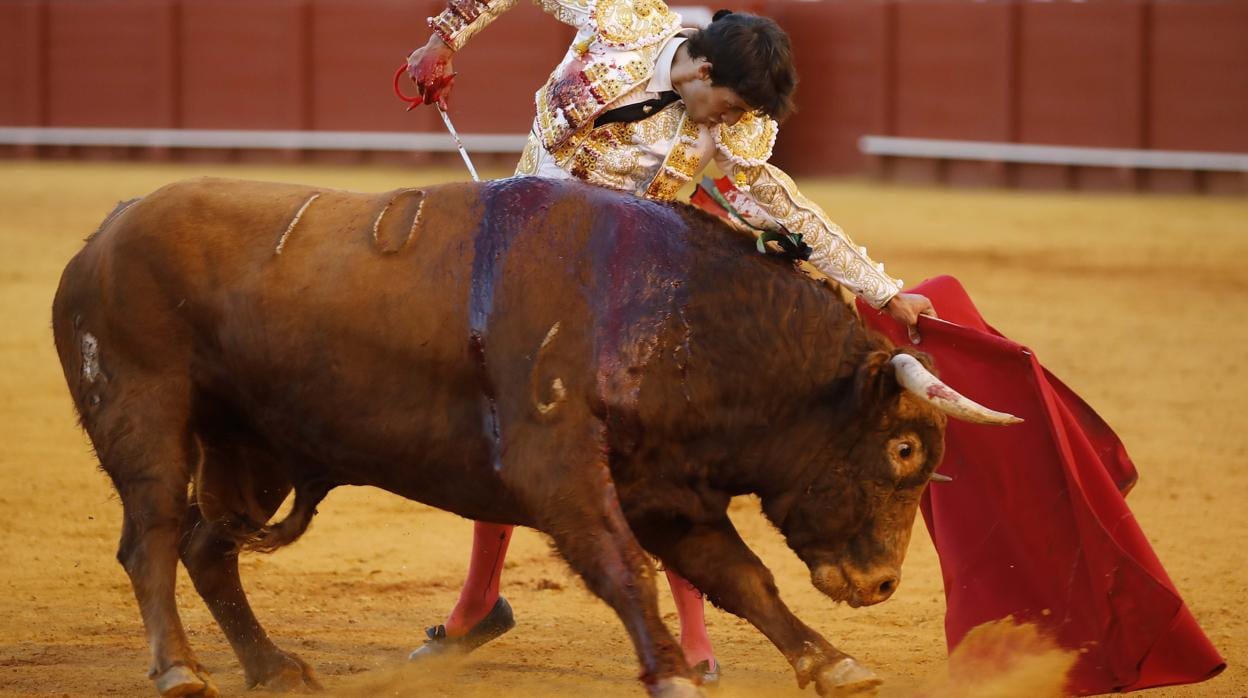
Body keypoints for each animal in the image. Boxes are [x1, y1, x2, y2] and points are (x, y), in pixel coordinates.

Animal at [53, 176, 1018, 698]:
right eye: (903, 450)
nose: (883, 582)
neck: (673, 310)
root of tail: (105, 231)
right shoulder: (555, 466)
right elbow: (625, 566)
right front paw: (669, 668)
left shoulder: (667, 490)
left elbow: (741, 576)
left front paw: (833, 662)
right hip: (146, 411)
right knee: (153, 540)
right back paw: (180, 669)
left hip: (249, 449)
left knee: (209, 548)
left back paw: (273, 666)